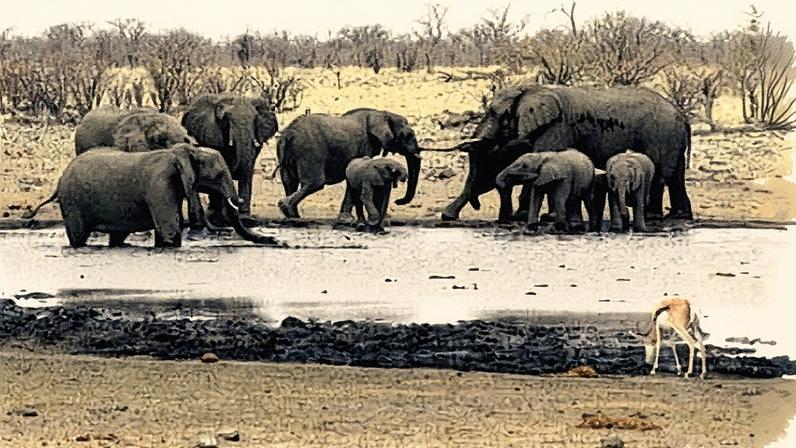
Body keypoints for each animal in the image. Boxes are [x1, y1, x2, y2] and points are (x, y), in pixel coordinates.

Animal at [27, 144, 280, 248]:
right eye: (218, 175)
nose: (276, 241)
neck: (182, 152)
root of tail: (60, 180)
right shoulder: (161, 184)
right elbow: (170, 230)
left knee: (117, 237)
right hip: (73, 203)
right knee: (78, 237)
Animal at [181, 94, 279, 225]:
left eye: (255, 120)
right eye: (227, 120)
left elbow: (247, 168)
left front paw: (246, 220)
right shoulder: (211, 132)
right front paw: (221, 219)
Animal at [275, 108, 421, 219]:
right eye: (408, 136)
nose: (398, 201)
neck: (380, 113)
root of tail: (288, 134)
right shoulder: (365, 144)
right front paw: (347, 218)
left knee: (289, 182)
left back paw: (292, 216)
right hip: (309, 152)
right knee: (315, 183)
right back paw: (286, 208)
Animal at [441, 84, 692, 223]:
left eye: (494, 112)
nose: (477, 207)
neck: (529, 89)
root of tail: (682, 115)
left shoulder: (556, 127)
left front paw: (529, 217)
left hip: (662, 135)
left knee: (662, 175)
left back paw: (655, 217)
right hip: (672, 137)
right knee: (676, 177)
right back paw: (677, 217)